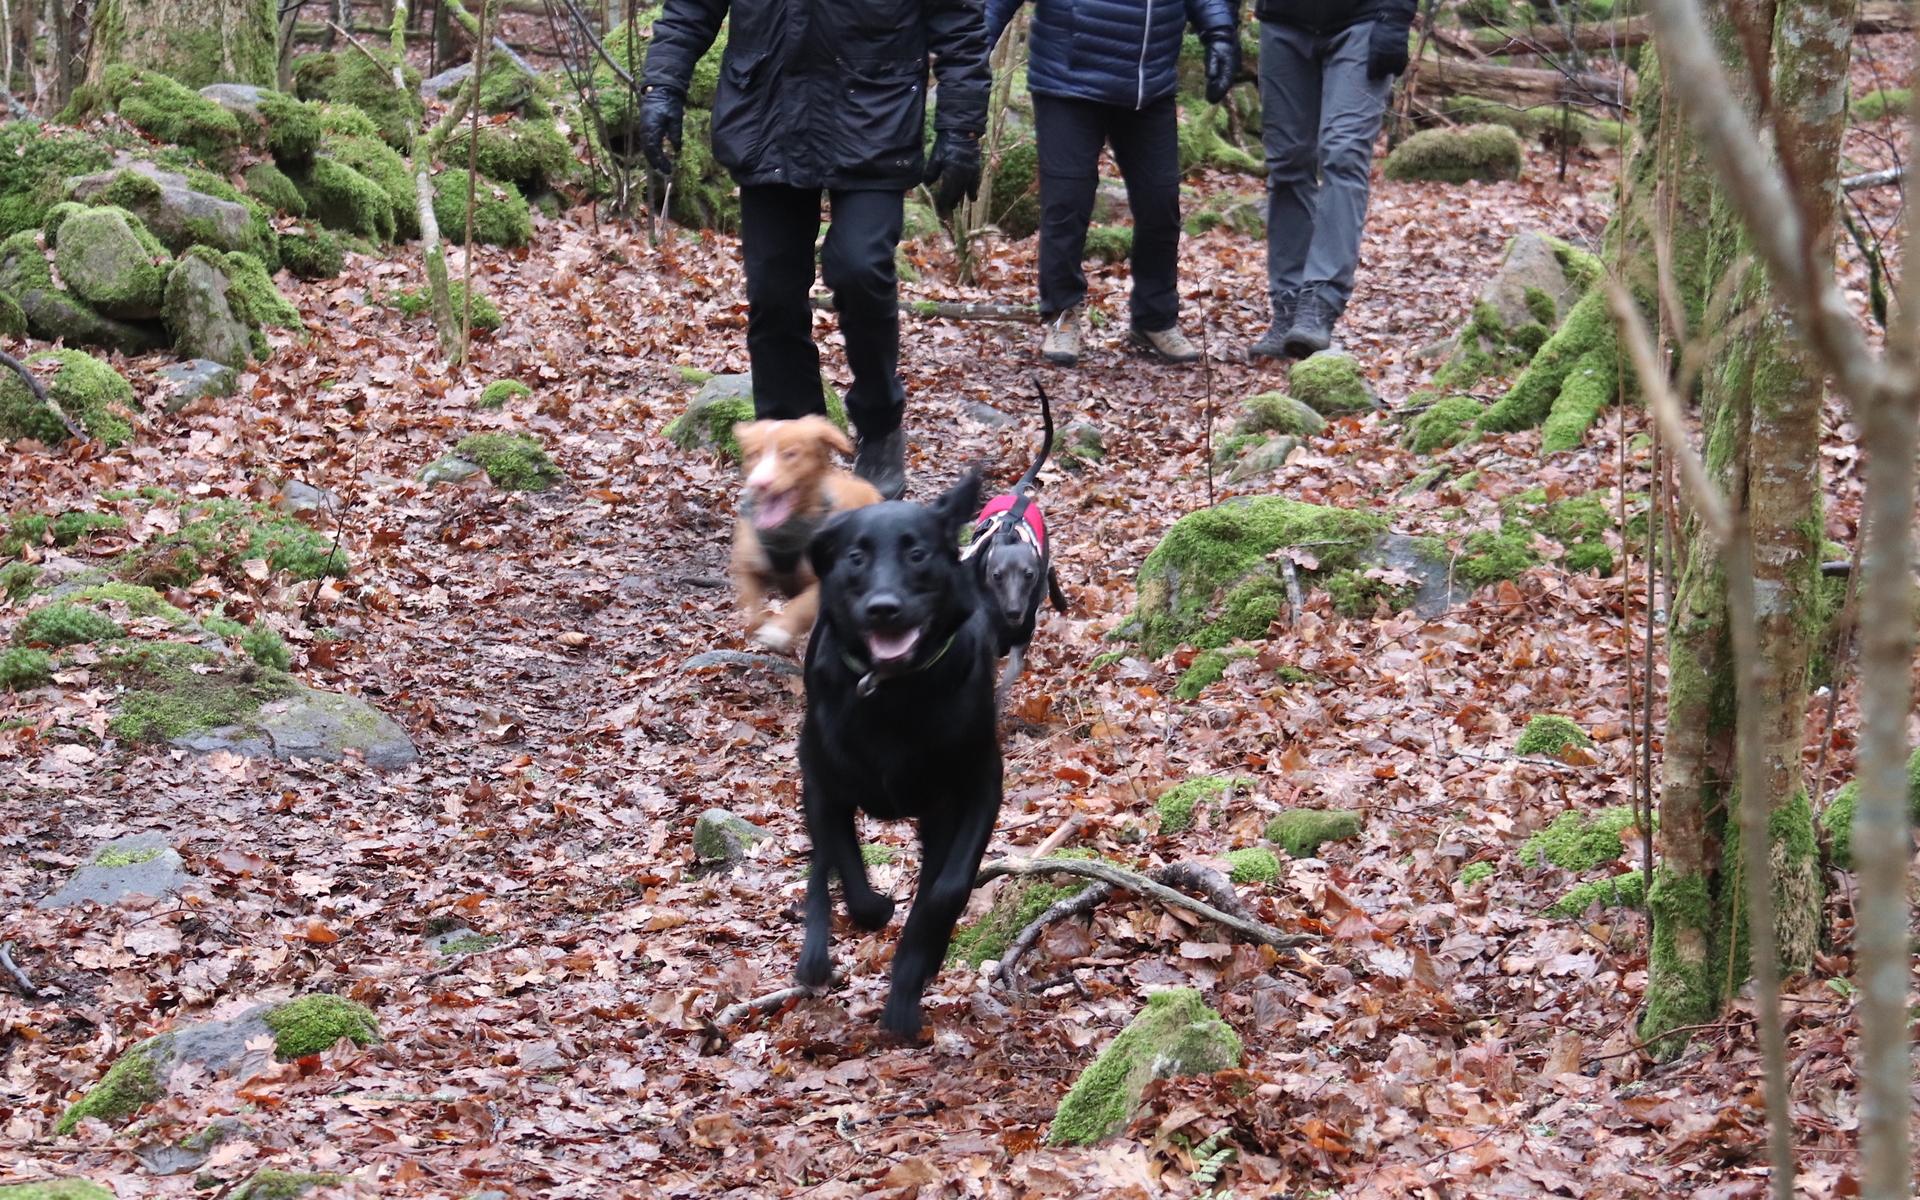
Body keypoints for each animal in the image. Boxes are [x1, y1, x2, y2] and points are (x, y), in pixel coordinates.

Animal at [729, 414, 887, 656]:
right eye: (753, 454)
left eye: (790, 454)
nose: (759, 483)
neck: (786, 532)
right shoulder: (749, 567)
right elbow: (751, 605)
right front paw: (759, 623)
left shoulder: (825, 584)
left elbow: (801, 606)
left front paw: (778, 630)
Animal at [794, 468, 1006, 1036]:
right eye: (855, 556)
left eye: (917, 553)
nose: (884, 608)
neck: (894, 692)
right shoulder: (823, 785)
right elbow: (848, 876)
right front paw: (876, 909)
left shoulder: (976, 788)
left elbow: (946, 890)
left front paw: (912, 979)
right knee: (821, 870)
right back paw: (813, 958)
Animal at [967, 378, 1075, 706]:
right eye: (996, 575)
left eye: (1027, 575)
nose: (1015, 612)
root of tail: (1017, 493)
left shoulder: (1019, 644)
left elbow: (1004, 682)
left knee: (1051, 569)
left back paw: (1059, 600)